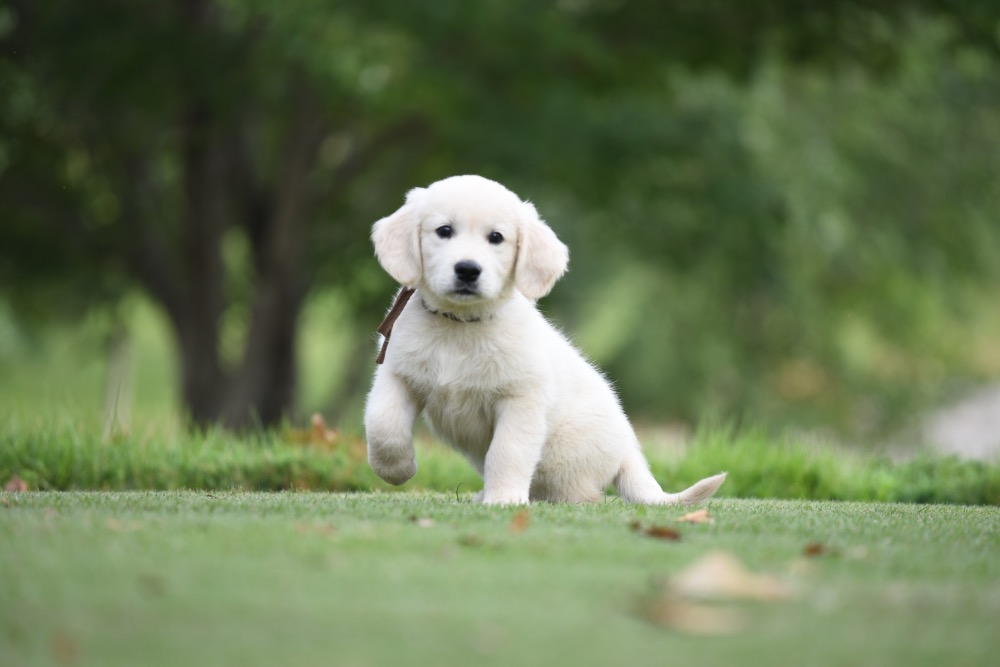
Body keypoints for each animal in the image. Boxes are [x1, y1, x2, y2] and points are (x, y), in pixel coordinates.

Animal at [366, 175, 728, 504]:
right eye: (443, 231)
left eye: (496, 237)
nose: (467, 270)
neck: (460, 325)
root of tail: (629, 451)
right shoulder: (397, 374)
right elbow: (383, 425)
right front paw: (396, 471)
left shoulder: (520, 398)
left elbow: (507, 452)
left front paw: (505, 500)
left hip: (561, 459)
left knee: (580, 495)